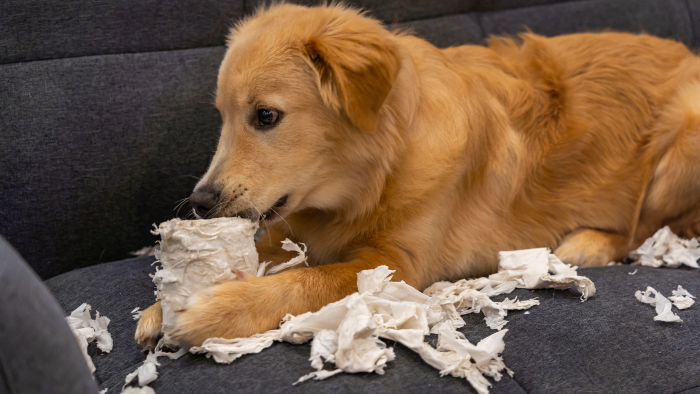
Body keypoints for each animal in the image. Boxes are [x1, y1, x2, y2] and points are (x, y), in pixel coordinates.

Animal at [135, 3, 700, 348]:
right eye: (223, 117)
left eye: (266, 116)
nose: (200, 202)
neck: (377, 174)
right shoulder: (290, 223)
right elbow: (271, 255)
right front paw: (165, 303)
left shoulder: (395, 266)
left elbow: (307, 281)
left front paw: (211, 313)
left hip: (681, 144)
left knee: (643, 229)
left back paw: (589, 243)